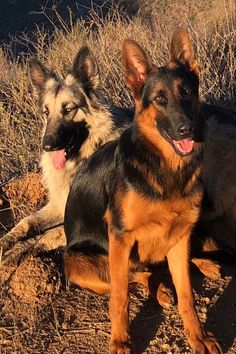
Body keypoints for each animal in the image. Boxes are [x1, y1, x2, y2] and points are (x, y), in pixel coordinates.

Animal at [64, 29, 221, 352]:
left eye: (186, 92)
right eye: (159, 99)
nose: (187, 129)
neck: (165, 167)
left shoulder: (180, 234)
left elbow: (186, 293)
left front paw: (198, 336)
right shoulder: (121, 238)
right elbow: (120, 297)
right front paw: (120, 340)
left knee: (159, 268)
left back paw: (200, 266)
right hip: (79, 263)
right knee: (137, 274)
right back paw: (160, 290)